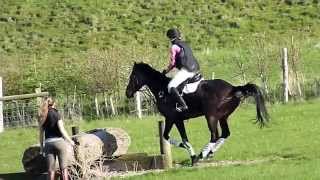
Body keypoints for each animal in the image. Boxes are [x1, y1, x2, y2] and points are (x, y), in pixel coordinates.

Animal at [124, 62, 268, 165]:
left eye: (132, 76)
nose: (128, 93)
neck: (162, 90)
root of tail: (233, 88)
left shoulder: (174, 119)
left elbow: (179, 138)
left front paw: (192, 156)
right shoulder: (173, 119)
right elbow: (167, 136)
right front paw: (191, 154)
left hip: (211, 117)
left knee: (214, 135)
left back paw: (202, 155)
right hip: (223, 117)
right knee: (225, 134)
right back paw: (209, 153)